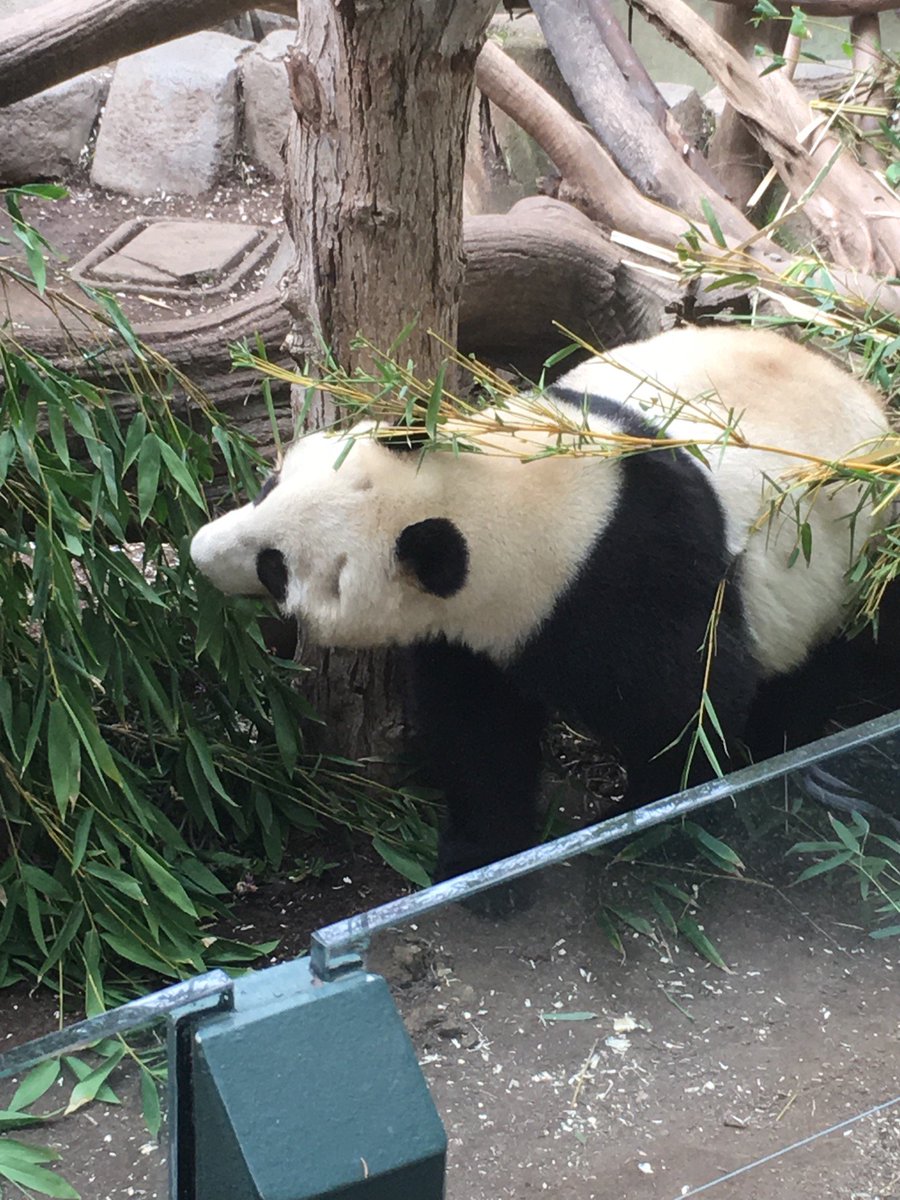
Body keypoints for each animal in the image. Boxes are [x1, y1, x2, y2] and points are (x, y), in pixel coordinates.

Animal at [190, 326, 892, 882]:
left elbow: (690, 705)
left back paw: (788, 747)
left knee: (829, 660)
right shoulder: (470, 625)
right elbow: (477, 730)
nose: (199, 552)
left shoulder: (635, 580)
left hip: (852, 562)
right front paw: (481, 856)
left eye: (274, 567)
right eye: (267, 485)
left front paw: (640, 819)